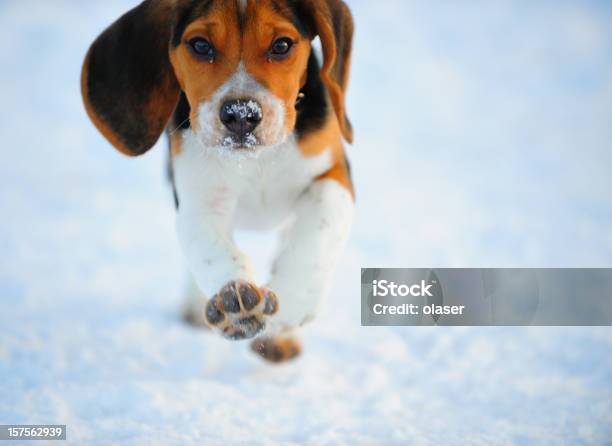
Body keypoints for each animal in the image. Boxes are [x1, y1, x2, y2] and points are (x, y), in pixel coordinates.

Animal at [83, 0, 356, 362]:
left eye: (282, 45)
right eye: (200, 46)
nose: (241, 114)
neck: (254, 161)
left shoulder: (333, 171)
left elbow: (321, 222)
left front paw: (295, 299)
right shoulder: (198, 200)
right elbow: (209, 247)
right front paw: (236, 302)